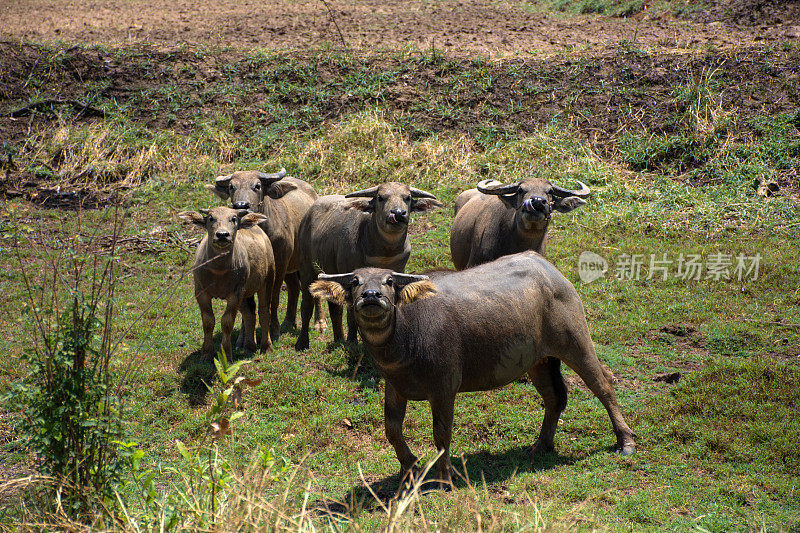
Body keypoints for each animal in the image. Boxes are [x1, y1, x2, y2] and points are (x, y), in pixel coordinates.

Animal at [179, 206, 276, 360]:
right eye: (211, 218)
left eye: (233, 219)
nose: (222, 235)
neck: (219, 271)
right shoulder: (201, 292)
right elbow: (208, 321)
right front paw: (206, 354)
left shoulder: (235, 294)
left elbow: (227, 322)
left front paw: (226, 353)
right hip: (245, 292)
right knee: (249, 313)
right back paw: (249, 346)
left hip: (267, 280)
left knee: (264, 311)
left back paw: (266, 347)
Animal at [208, 168, 324, 332]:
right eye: (231, 186)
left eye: (257, 186)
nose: (241, 205)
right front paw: (244, 334)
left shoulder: (279, 264)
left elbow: (273, 297)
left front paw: (273, 327)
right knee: (294, 287)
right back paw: (288, 321)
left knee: (313, 286)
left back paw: (319, 323)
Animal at [296, 181, 444, 352]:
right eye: (380, 197)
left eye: (407, 197)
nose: (398, 213)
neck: (385, 252)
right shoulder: (350, 276)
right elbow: (351, 314)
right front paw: (352, 341)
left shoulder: (399, 271)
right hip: (306, 269)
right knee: (307, 305)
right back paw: (303, 342)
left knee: (334, 308)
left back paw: (339, 339)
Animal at [310, 249, 636, 486]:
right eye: (355, 282)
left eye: (389, 281)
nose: (371, 296)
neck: (406, 336)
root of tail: (548, 269)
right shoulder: (395, 387)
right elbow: (392, 430)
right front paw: (409, 467)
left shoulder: (443, 389)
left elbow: (441, 433)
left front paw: (445, 477)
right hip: (538, 361)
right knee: (555, 398)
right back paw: (541, 445)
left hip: (576, 342)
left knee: (603, 386)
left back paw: (626, 441)